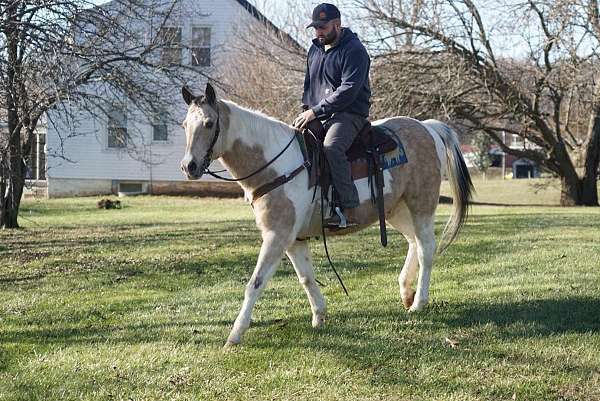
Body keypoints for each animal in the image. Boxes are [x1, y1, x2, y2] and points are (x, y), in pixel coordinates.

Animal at [178, 83, 474, 346]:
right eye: (184, 125)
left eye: (208, 123)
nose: (188, 166)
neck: (276, 165)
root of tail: (428, 128)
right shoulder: (294, 240)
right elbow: (306, 277)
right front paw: (319, 316)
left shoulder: (277, 235)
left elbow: (256, 282)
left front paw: (235, 334)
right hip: (396, 210)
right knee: (413, 242)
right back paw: (406, 292)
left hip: (420, 204)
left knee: (426, 248)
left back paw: (419, 302)